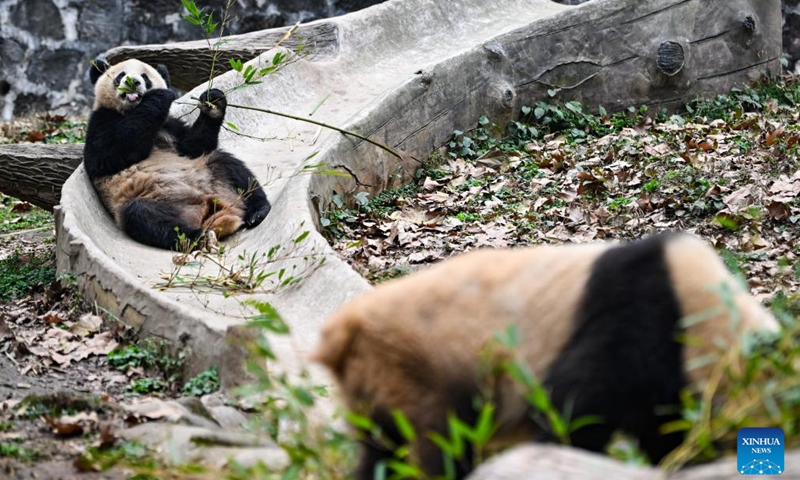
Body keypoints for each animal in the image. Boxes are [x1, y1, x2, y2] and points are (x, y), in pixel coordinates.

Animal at [84, 58, 270, 249]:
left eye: (145, 77)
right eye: (121, 75)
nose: (133, 82)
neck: (132, 111)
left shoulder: (171, 126)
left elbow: (194, 147)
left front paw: (213, 102)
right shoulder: (101, 120)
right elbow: (108, 155)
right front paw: (159, 97)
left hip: (213, 176)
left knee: (231, 167)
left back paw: (257, 211)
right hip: (155, 202)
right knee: (144, 216)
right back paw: (197, 236)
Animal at [312, 231, 780, 478]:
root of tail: (341, 333)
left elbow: (664, 432)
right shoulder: (638, 320)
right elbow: (572, 414)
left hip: (377, 385)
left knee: (380, 452)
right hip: (422, 367)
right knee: (443, 443)